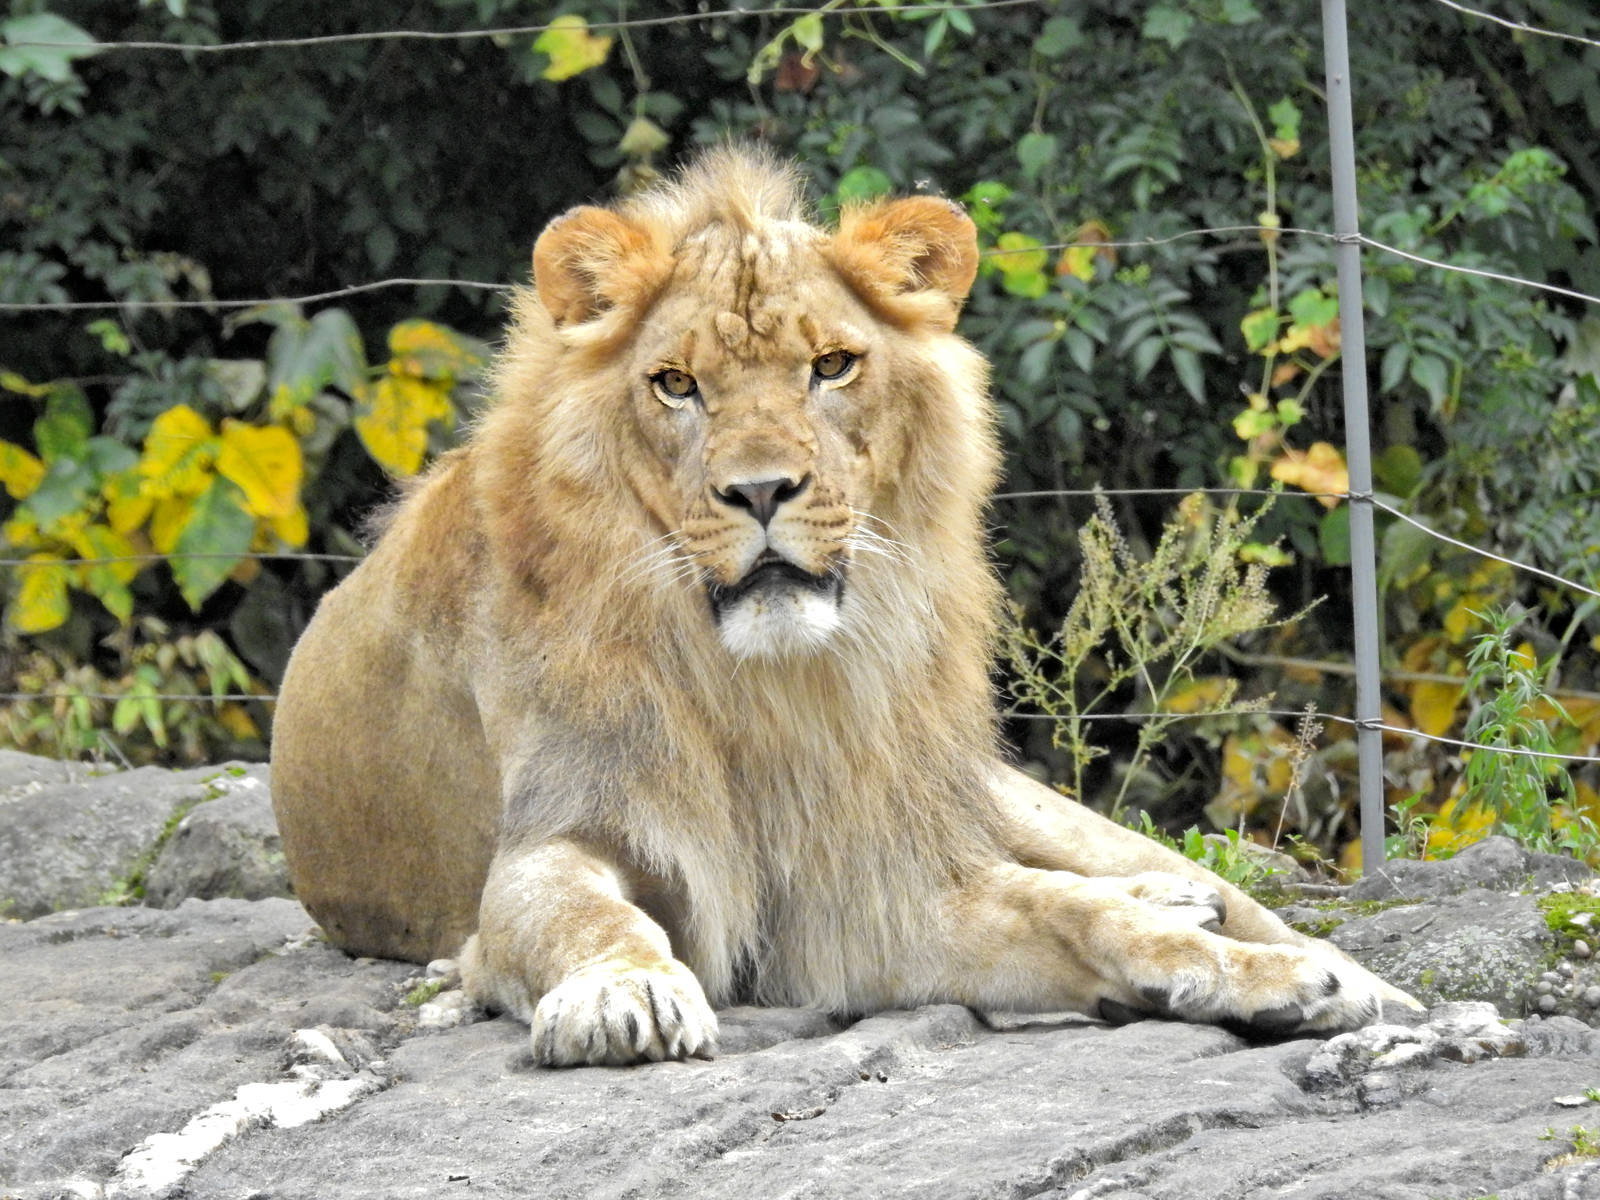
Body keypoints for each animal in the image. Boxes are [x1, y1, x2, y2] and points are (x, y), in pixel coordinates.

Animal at [270, 147, 1417, 1066]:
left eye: (831, 365)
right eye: (676, 384)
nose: (760, 491)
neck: (768, 686)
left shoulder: (859, 880)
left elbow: (1071, 917)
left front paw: (1284, 983)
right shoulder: (552, 840)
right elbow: (583, 917)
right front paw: (623, 991)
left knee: (1164, 883)